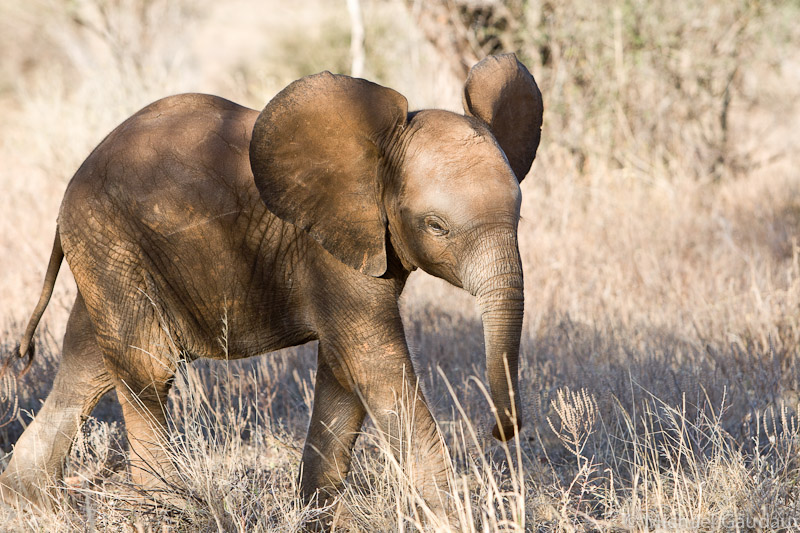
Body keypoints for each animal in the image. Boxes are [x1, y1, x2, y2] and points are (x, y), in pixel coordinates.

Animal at [0, 54, 540, 520]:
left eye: (519, 217)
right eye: (436, 226)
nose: (498, 431)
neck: (376, 149)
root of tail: (72, 185)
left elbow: (344, 372)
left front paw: (315, 517)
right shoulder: (327, 244)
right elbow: (375, 364)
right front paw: (457, 519)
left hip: (108, 252)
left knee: (87, 364)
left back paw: (33, 505)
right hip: (111, 240)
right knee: (147, 366)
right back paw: (165, 509)